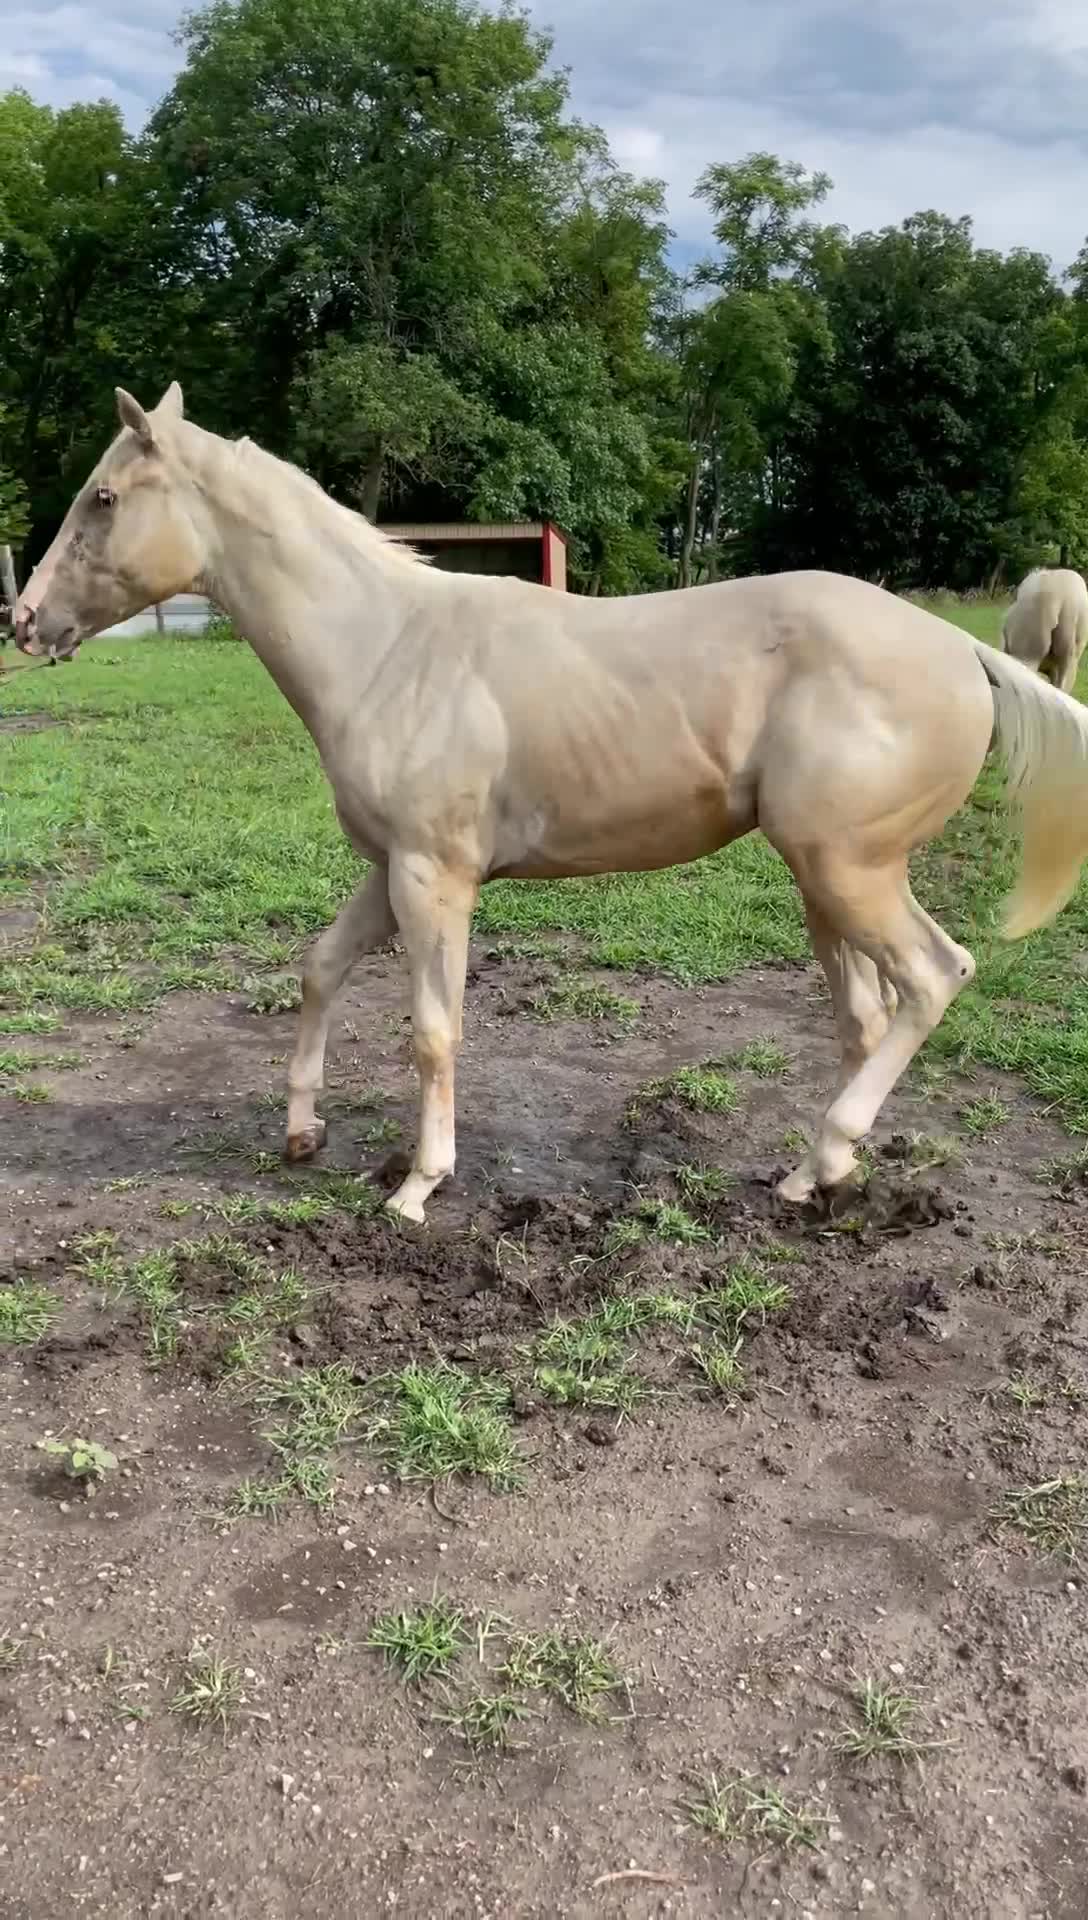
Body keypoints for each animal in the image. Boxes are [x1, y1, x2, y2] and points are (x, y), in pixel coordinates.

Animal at [15, 384, 1088, 1224]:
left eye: (103, 496)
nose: (22, 620)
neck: (388, 648)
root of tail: (966, 653)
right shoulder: (389, 868)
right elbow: (320, 968)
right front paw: (301, 1134)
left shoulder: (434, 878)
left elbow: (432, 1029)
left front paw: (418, 1186)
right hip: (826, 883)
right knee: (868, 1015)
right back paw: (818, 1175)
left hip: (848, 870)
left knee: (936, 977)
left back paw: (825, 1153)